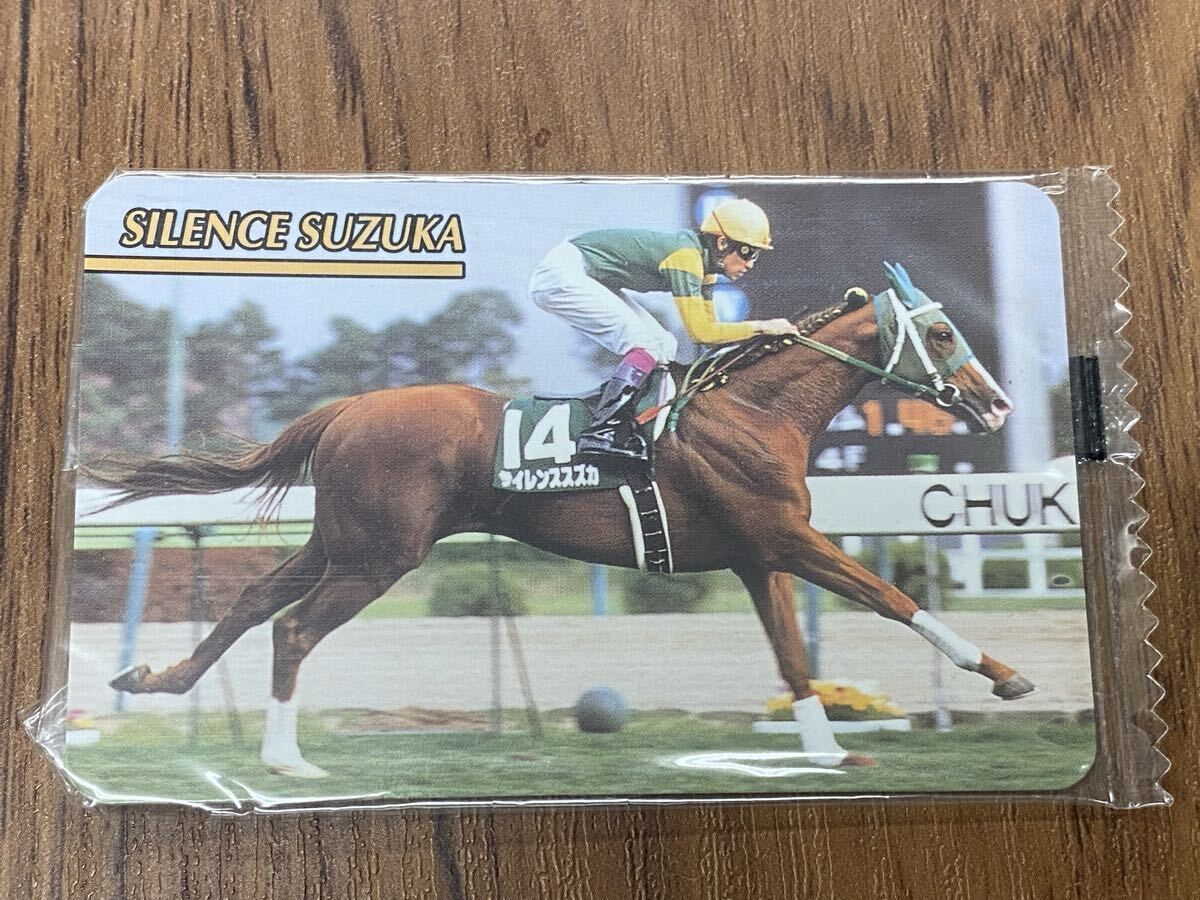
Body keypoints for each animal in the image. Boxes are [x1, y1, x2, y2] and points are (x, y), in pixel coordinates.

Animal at [95, 263, 1031, 778]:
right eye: (941, 334)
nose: (995, 404)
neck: (755, 412)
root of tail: (349, 407)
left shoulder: (756, 557)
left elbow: (795, 661)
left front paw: (829, 751)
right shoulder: (785, 539)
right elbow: (890, 598)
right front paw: (1005, 674)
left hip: (342, 542)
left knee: (254, 601)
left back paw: (157, 681)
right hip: (378, 558)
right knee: (292, 629)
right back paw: (283, 757)